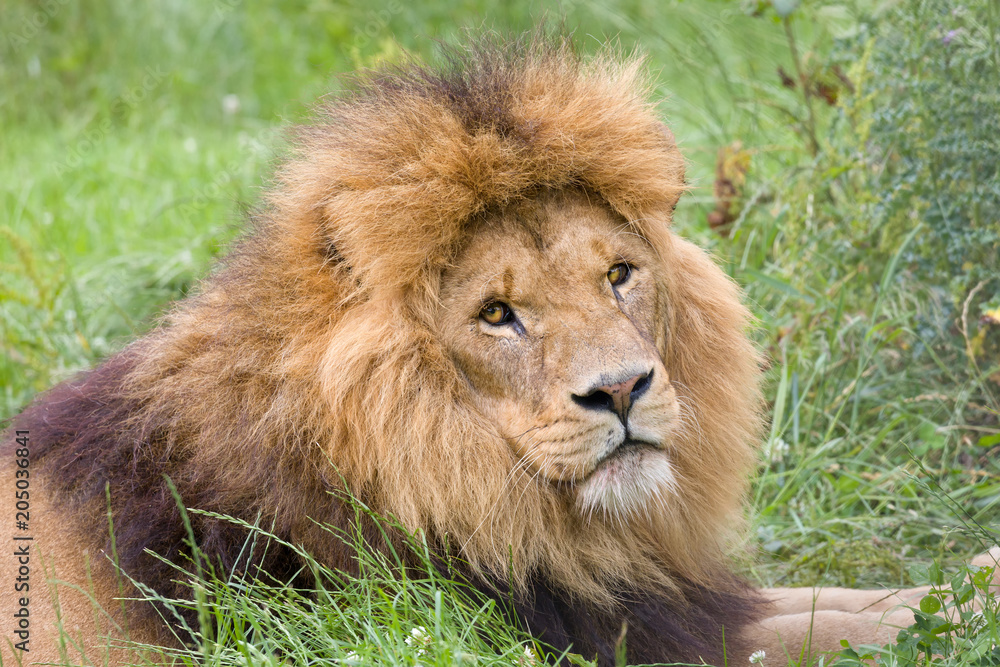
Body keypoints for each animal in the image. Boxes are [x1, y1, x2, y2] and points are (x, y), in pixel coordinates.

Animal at [1, 32, 1000, 667]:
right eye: (496, 315)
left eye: (619, 274)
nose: (622, 390)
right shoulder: (575, 632)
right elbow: (827, 631)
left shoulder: (651, 589)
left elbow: (838, 597)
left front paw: (976, 571)